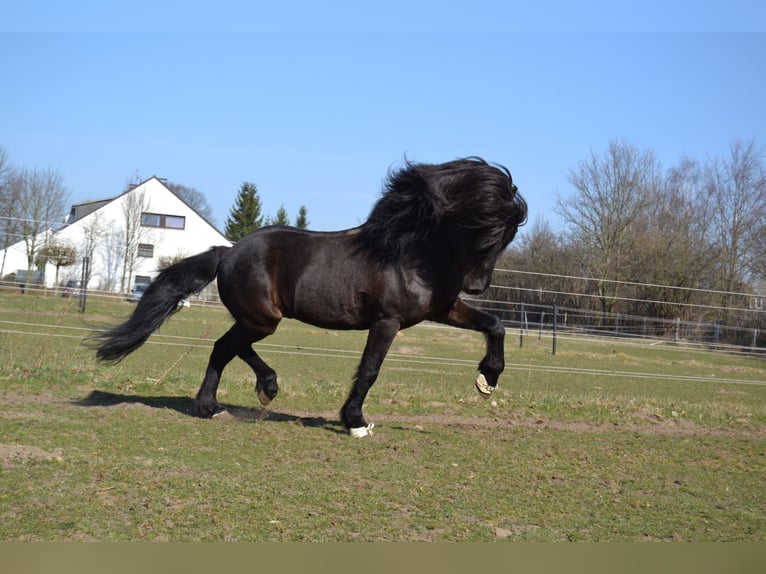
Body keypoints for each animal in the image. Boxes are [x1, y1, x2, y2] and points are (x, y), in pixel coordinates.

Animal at [93, 160, 528, 438]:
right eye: (478, 224)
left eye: (506, 233)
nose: (477, 285)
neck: (409, 253)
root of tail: (227, 252)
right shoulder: (386, 321)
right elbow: (369, 370)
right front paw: (355, 422)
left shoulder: (440, 308)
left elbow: (495, 324)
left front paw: (487, 380)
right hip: (263, 319)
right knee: (230, 347)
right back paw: (264, 389)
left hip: (257, 320)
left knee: (222, 349)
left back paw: (212, 407)